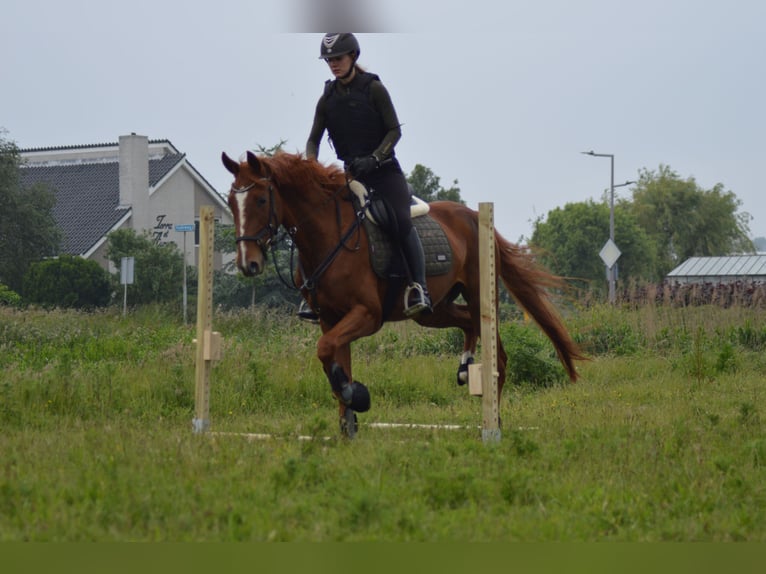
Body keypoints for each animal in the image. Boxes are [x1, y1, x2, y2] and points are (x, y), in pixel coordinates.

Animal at [224, 151, 588, 438]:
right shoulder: (330, 319)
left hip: (478, 294)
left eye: (260, 200)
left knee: (496, 354)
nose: (247, 264)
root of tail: (473, 215)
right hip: (434, 310)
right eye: (230, 201)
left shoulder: (367, 315)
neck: (328, 236)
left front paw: (356, 396)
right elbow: (332, 356)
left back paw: (492, 424)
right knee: (466, 322)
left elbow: (326, 351)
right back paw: (465, 364)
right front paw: (348, 422)